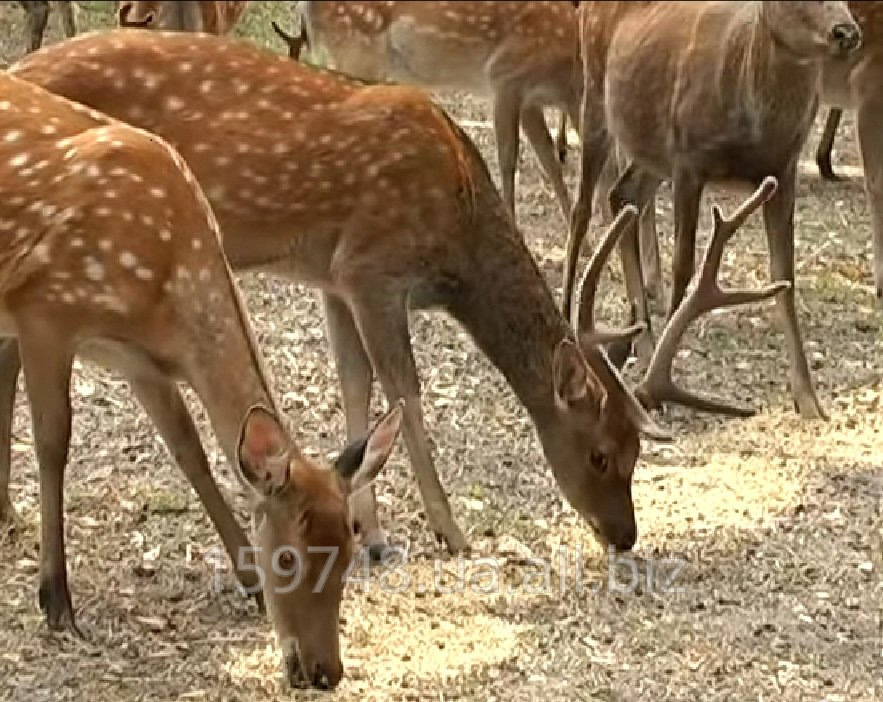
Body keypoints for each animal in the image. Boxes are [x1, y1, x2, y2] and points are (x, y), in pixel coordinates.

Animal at [0, 67, 406, 690]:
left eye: (349, 547)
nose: (325, 671)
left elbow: (189, 450)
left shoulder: (138, 360)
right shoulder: (45, 311)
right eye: (288, 557)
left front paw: (247, 580)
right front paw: (57, 602)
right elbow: (52, 444)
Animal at [12, 29, 793, 559]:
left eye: (637, 451)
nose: (623, 534)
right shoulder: (371, 267)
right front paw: (450, 531)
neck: (456, 226)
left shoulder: (330, 277)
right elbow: (407, 394)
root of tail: (18, 67)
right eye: (602, 453)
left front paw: (370, 527)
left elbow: (356, 387)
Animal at [563, 0, 862, 422]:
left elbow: (784, 276)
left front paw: (808, 401)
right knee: (583, 207)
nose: (846, 31)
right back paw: (572, 317)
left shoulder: (783, 170)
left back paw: (642, 342)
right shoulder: (690, 158)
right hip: (594, 95)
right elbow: (684, 265)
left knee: (623, 196)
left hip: (653, 152)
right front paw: (656, 386)